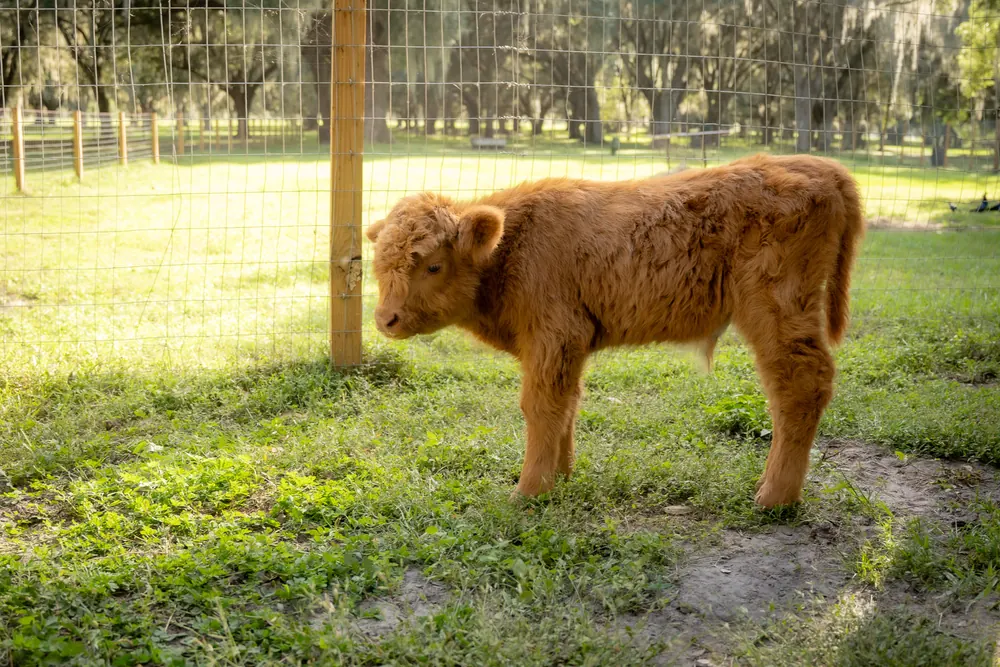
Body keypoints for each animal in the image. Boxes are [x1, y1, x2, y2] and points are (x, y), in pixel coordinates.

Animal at [365, 153, 865, 508]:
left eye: (432, 264)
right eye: (381, 264)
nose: (385, 319)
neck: (512, 244)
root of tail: (819, 166)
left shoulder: (554, 336)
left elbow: (540, 406)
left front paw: (529, 490)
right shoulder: (565, 347)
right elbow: (567, 405)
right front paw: (560, 477)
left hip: (776, 310)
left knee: (799, 385)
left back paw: (773, 497)